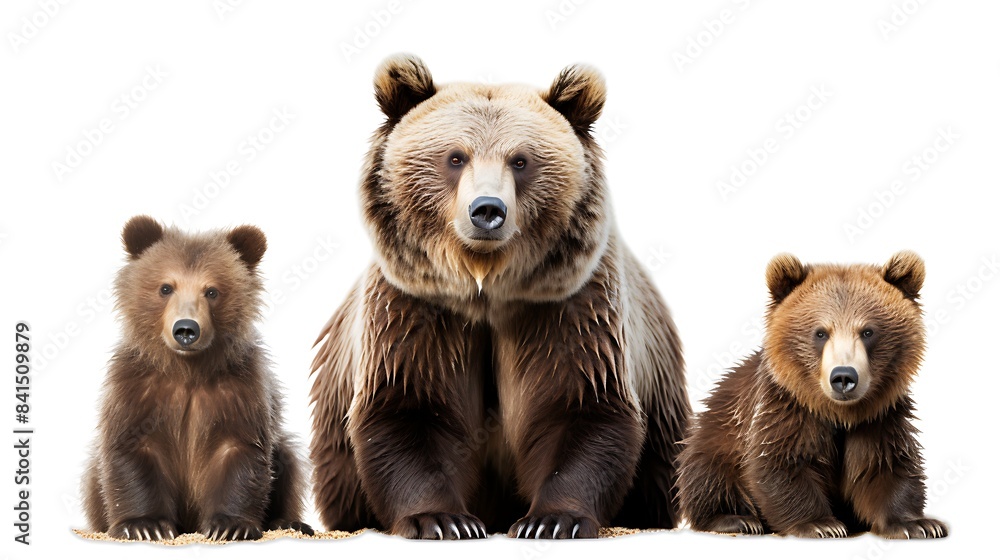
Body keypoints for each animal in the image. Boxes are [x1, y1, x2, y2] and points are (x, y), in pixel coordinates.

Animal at [83, 215, 313, 541]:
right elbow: (132, 449)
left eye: (212, 291)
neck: (187, 370)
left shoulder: (241, 390)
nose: (186, 329)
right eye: (166, 287)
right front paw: (144, 525)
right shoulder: (135, 387)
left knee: (288, 460)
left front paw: (231, 525)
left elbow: (242, 451)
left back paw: (289, 522)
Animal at [308, 54, 690, 540]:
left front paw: (552, 520)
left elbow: (581, 405)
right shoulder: (415, 306)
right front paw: (442, 520)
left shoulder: (568, 307)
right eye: (455, 156)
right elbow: (408, 408)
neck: (485, 286)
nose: (487, 210)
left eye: (521, 160)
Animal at [676, 251, 948, 539]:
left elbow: (884, 464)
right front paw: (820, 524)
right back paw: (735, 519)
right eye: (820, 332)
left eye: (868, 331)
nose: (843, 377)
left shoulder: (880, 417)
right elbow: (780, 462)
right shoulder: (786, 408)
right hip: (717, 432)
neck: (839, 413)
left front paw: (917, 524)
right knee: (708, 472)